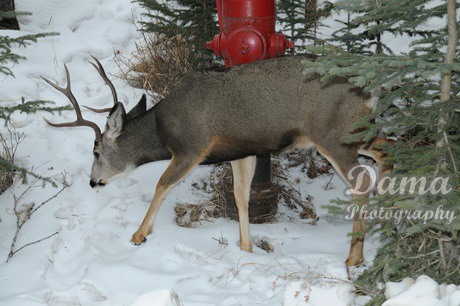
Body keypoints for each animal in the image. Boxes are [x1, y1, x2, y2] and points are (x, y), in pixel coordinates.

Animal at [41, 56, 390, 266]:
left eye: (96, 152)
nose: (92, 181)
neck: (163, 131)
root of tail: (369, 88)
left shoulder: (192, 148)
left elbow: (161, 185)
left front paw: (139, 235)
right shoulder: (241, 151)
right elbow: (240, 196)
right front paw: (245, 248)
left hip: (333, 136)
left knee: (361, 183)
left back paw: (354, 258)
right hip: (358, 131)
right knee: (387, 150)